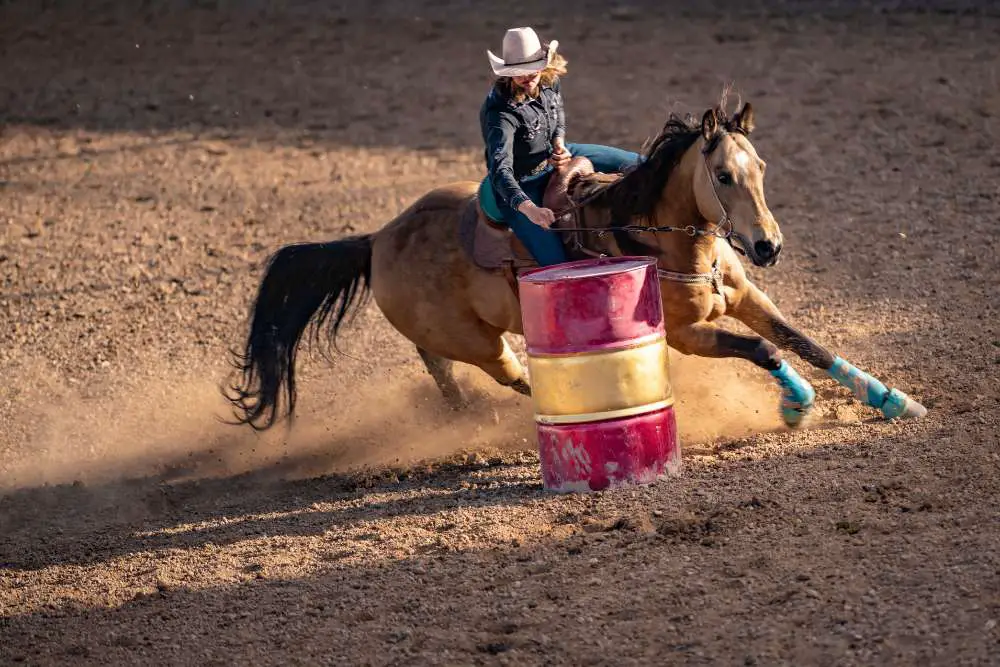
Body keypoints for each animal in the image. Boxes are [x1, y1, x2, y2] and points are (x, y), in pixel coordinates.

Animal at [223, 100, 924, 434]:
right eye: (722, 175)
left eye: (762, 168)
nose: (768, 246)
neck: (663, 239)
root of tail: (377, 239)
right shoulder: (687, 336)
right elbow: (764, 351)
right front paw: (796, 407)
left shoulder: (747, 296)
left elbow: (803, 341)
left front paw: (895, 400)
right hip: (480, 343)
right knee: (504, 374)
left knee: (441, 367)